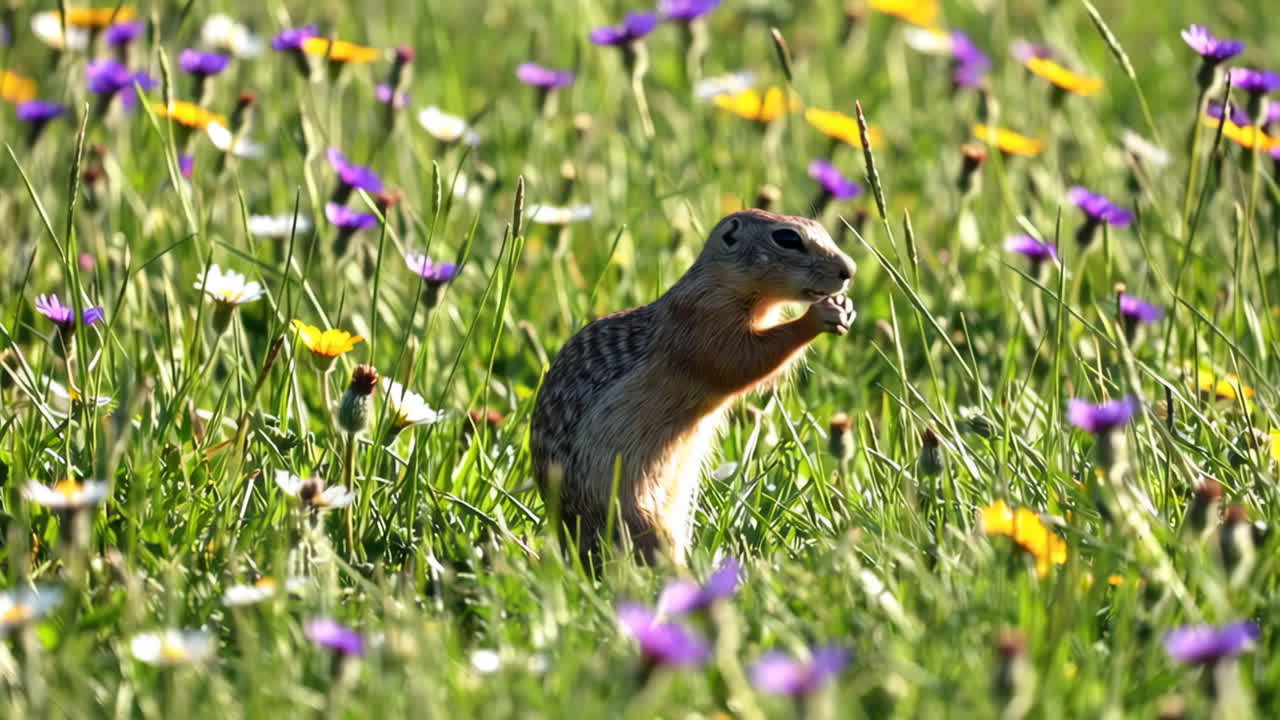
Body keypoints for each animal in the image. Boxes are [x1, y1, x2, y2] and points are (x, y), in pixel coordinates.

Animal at [531, 209, 856, 565]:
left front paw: (845, 308)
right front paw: (818, 316)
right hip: (638, 518)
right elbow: (739, 361)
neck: (722, 283)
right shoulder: (703, 320)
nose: (849, 270)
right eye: (787, 238)